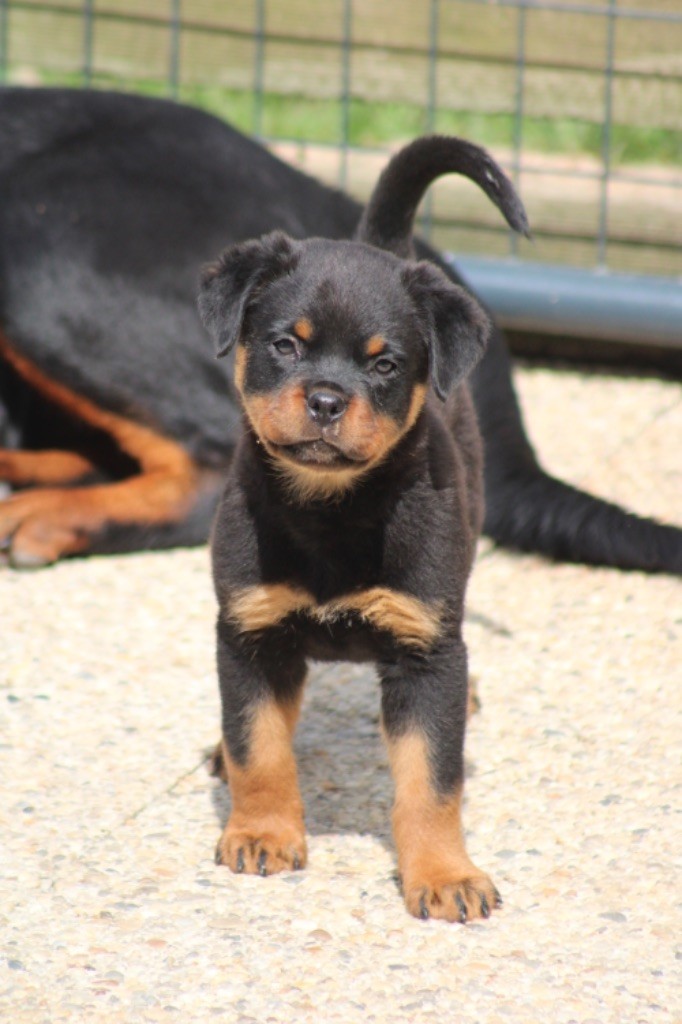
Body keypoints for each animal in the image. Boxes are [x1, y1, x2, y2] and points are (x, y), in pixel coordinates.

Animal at [199, 140, 528, 925]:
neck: (332, 511)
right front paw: (262, 831)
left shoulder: (423, 652)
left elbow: (432, 782)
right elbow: (258, 744)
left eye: (384, 364)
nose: (325, 400)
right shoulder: (249, 631)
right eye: (285, 346)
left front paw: (444, 874)